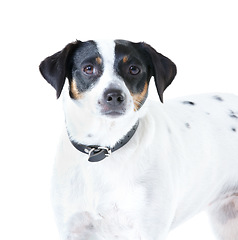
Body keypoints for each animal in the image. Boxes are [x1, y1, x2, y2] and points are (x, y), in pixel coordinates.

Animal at [39, 39, 238, 240]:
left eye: (134, 69)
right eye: (88, 68)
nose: (114, 96)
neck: (104, 148)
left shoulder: (149, 230)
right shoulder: (73, 229)